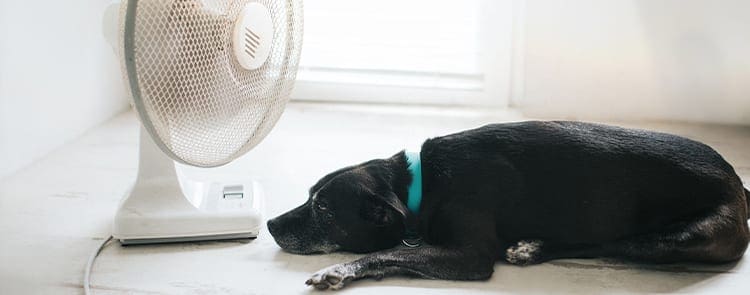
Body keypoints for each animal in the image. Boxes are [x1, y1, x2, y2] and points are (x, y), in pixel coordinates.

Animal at [268, 121, 748, 290]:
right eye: (309, 196)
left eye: (325, 212)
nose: (271, 224)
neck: (420, 185)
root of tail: (739, 183)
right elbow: (396, 252)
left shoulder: (470, 256)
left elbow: (388, 253)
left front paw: (339, 271)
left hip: (682, 236)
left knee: (613, 243)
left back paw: (533, 248)